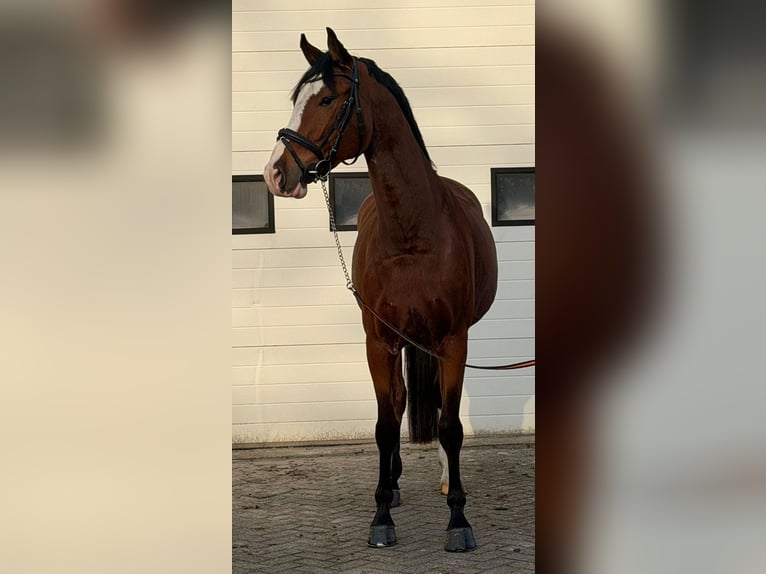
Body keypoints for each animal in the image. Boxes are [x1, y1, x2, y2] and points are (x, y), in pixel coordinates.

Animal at [263, 28, 499, 553]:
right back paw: (392, 483)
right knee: (399, 400)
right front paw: (381, 515)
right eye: (296, 99)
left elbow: (451, 428)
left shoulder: (453, 341)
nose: (275, 174)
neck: (412, 234)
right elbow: (385, 424)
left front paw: (459, 521)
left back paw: (444, 483)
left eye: (327, 98)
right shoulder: (379, 340)